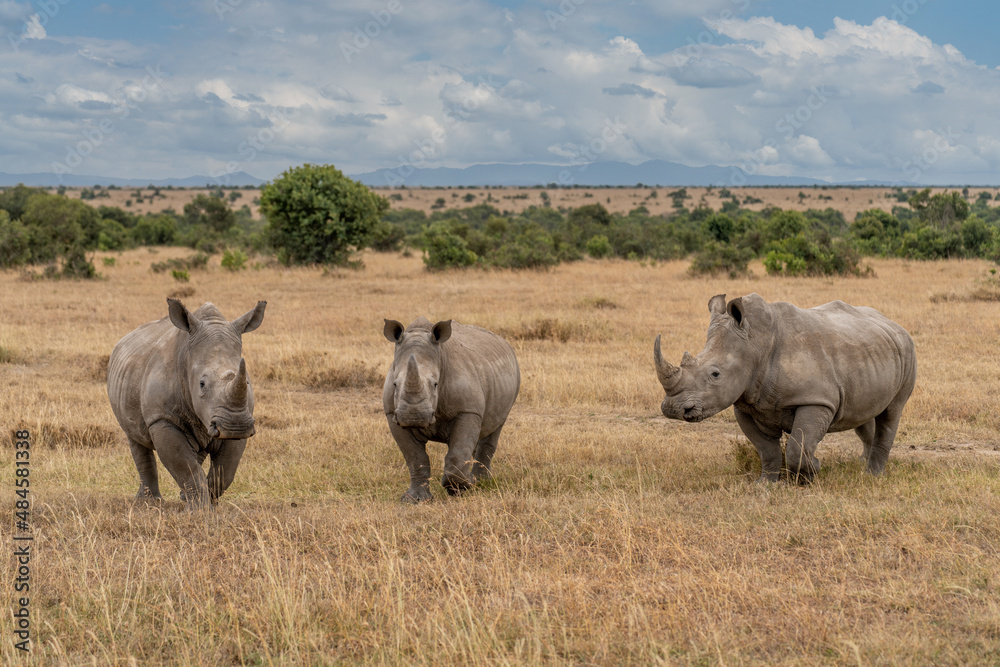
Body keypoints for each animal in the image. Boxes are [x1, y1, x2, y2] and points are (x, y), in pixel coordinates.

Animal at [107, 299, 266, 509]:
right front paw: (199, 511)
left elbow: (225, 471)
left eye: (247, 382)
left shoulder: (242, 420)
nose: (235, 426)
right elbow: (186, 467)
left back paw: (182, 496)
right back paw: (148, 502)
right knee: (135, 439)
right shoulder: (162, 418)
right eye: (201, 384)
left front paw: (208, 504)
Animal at [383, 317, 520, 502]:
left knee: (495, 427)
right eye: (395, 384)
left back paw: (481, 482)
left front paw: (460, 487)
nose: (413, 416)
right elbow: (415, 458)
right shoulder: (392, 414)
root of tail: (504, 342)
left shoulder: (468, 410)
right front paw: (415, 500)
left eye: (435, 384)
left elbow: (457, 455)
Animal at [654, 294, 916, 483]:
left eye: (715, 374)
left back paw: (873, 476)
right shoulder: (746, 404)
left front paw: (812, 473)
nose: (673, 408)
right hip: (871, 354)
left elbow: (797, 448)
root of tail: (894, 324)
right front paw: (766, 483)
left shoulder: (815, 399)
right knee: (863, 414)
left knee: (892, 412)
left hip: (908, 351)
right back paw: (862, 464)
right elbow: (766, 449)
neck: (755, 344)